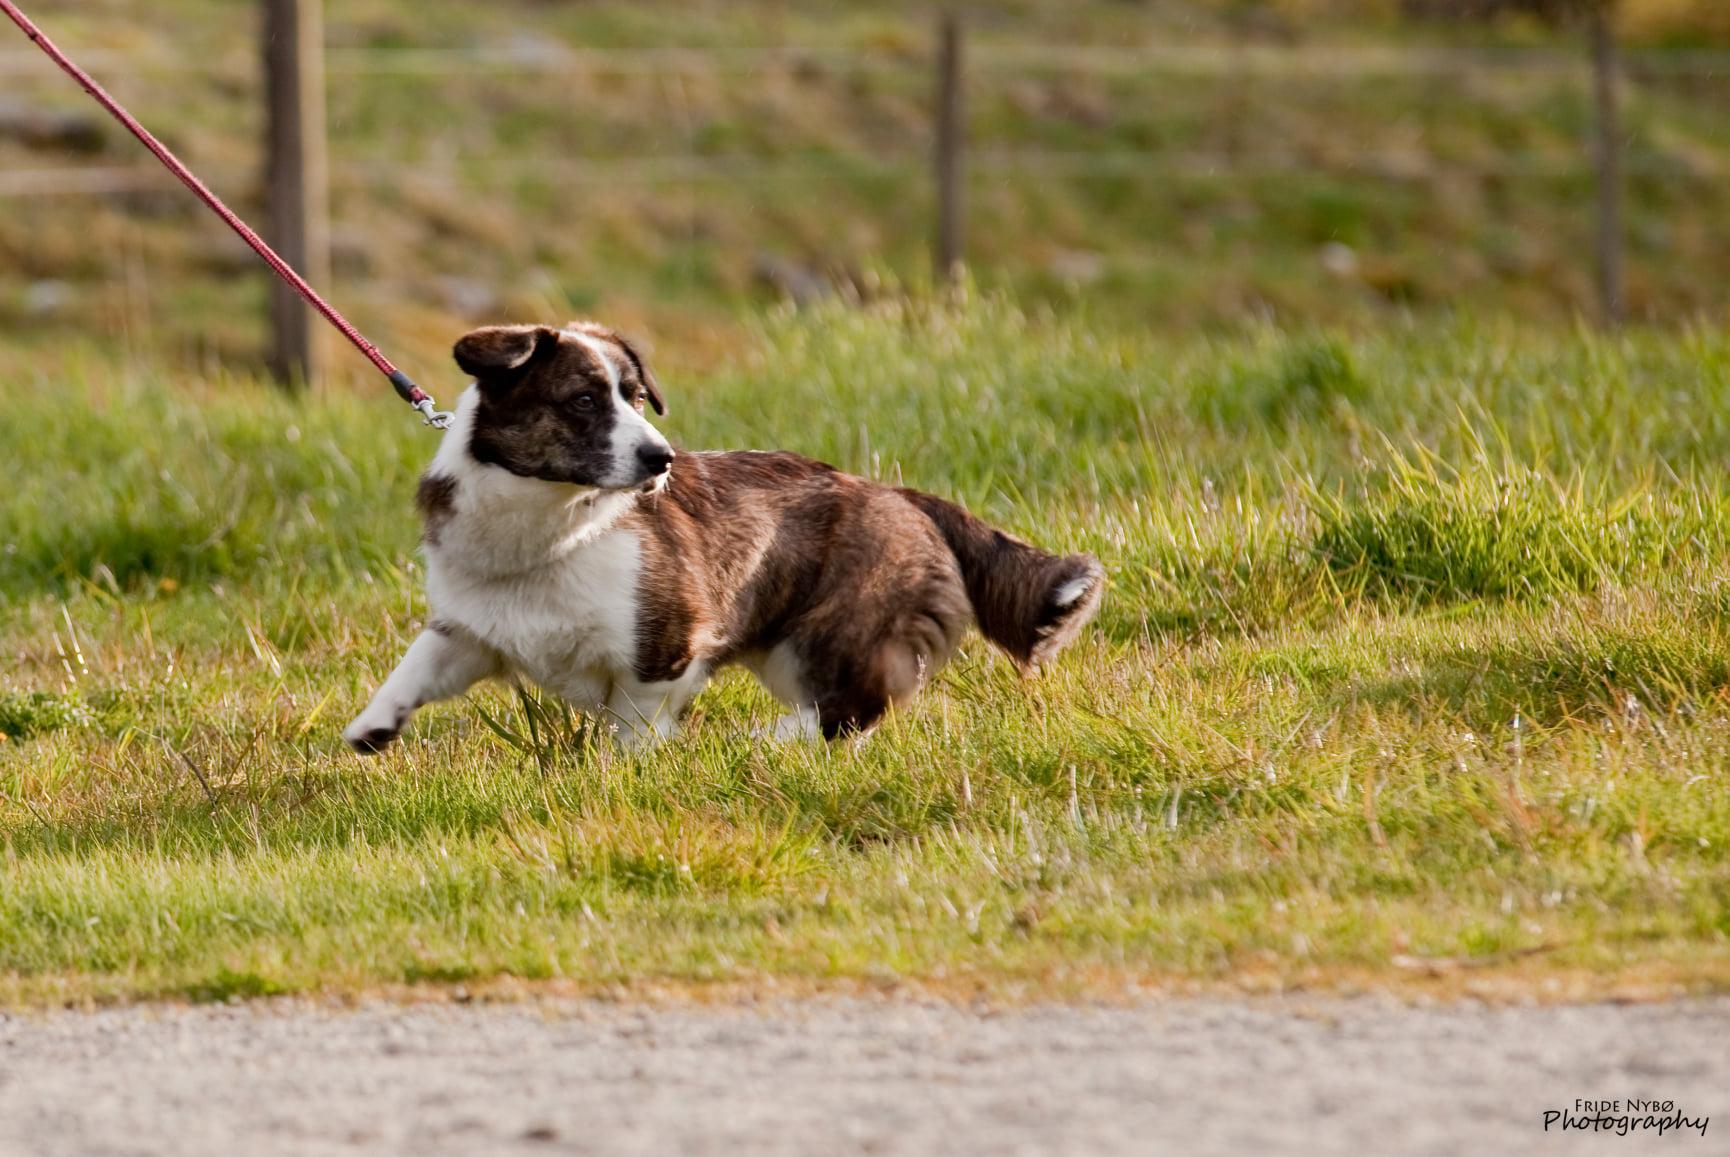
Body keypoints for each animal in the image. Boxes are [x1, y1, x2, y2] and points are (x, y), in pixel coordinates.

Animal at [342, 323, 1100, 750]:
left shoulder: (663, 653)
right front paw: (373, 728)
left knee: (848, 709)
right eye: (583, 400)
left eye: (636, 398)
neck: (557, 526)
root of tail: (899, 493)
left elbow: (633, 731)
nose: (662, 459)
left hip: (827, 636)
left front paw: (622, 776)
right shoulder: (472, 632)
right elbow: (415, 664)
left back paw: (764, 742)